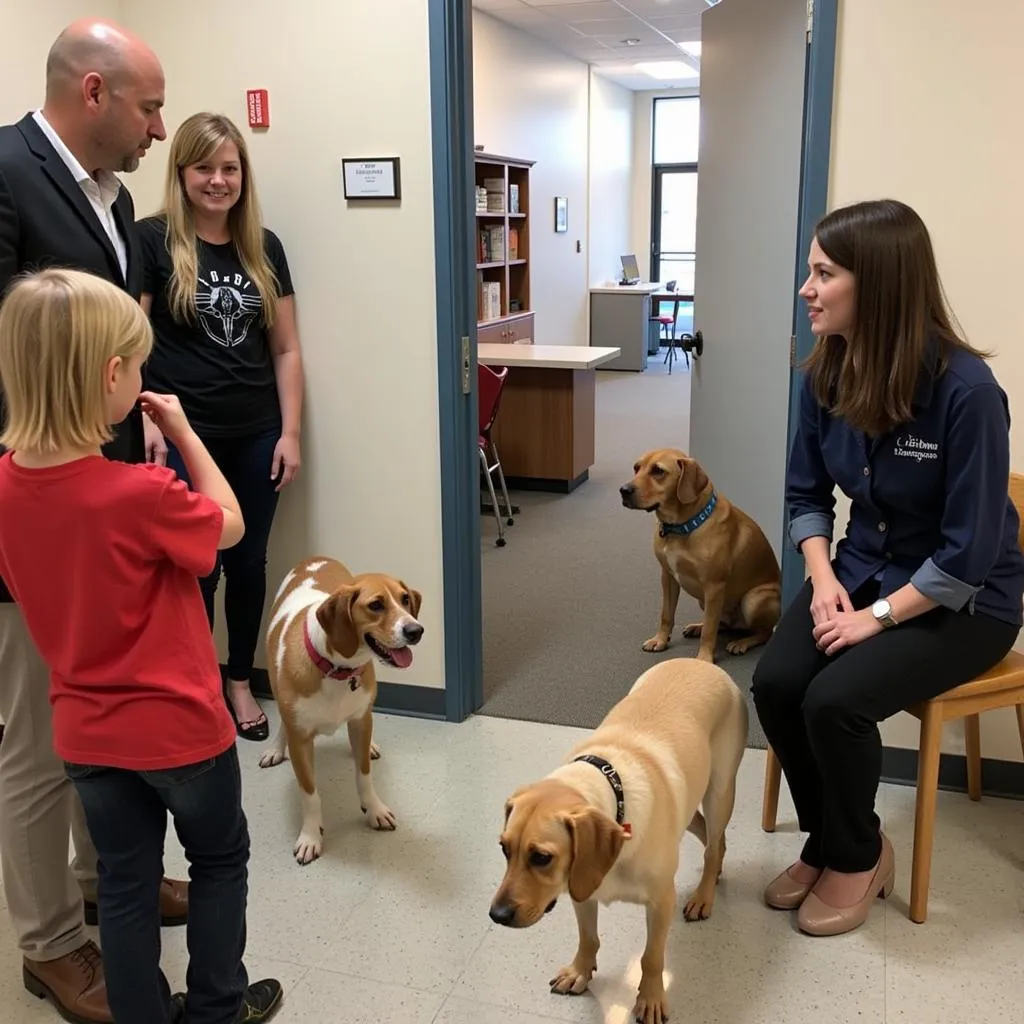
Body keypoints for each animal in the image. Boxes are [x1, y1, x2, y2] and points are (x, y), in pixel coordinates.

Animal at [264, 561, 428, 864]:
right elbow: (310, 795)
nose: (416, 630)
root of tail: (316, 559)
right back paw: (275, 748)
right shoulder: (300, 741)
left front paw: (374, 809)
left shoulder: (361, 721)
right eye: (376, 605)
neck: (337, 668)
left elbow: (364, 776)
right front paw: (310, 835)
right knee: (283, 721)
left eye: (405, 600)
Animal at [487, 655, 745, 1024]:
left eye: (541, 857)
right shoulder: (582, 888)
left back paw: (704, 894)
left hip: (720, 792)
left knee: (713, 842)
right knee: (710, 836)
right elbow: (588, 938)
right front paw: (579, 971)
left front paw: (650, 997)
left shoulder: (661, 901)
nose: (497, 915)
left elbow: (651, 958)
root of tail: (700, 660)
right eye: (504, 849)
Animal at [618, 448, 778, 663]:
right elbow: (666, 614)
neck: (680, 527)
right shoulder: (668, 577)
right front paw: (660, 640)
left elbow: (710, 629)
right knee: (722, 623)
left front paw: (704, 658)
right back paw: (697, 627)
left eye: (658, 471)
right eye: (636, 468)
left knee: (763, 633)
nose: (624, 490)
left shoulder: (714, 586)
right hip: (705, 600)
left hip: (753, 600)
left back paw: (741, 642)